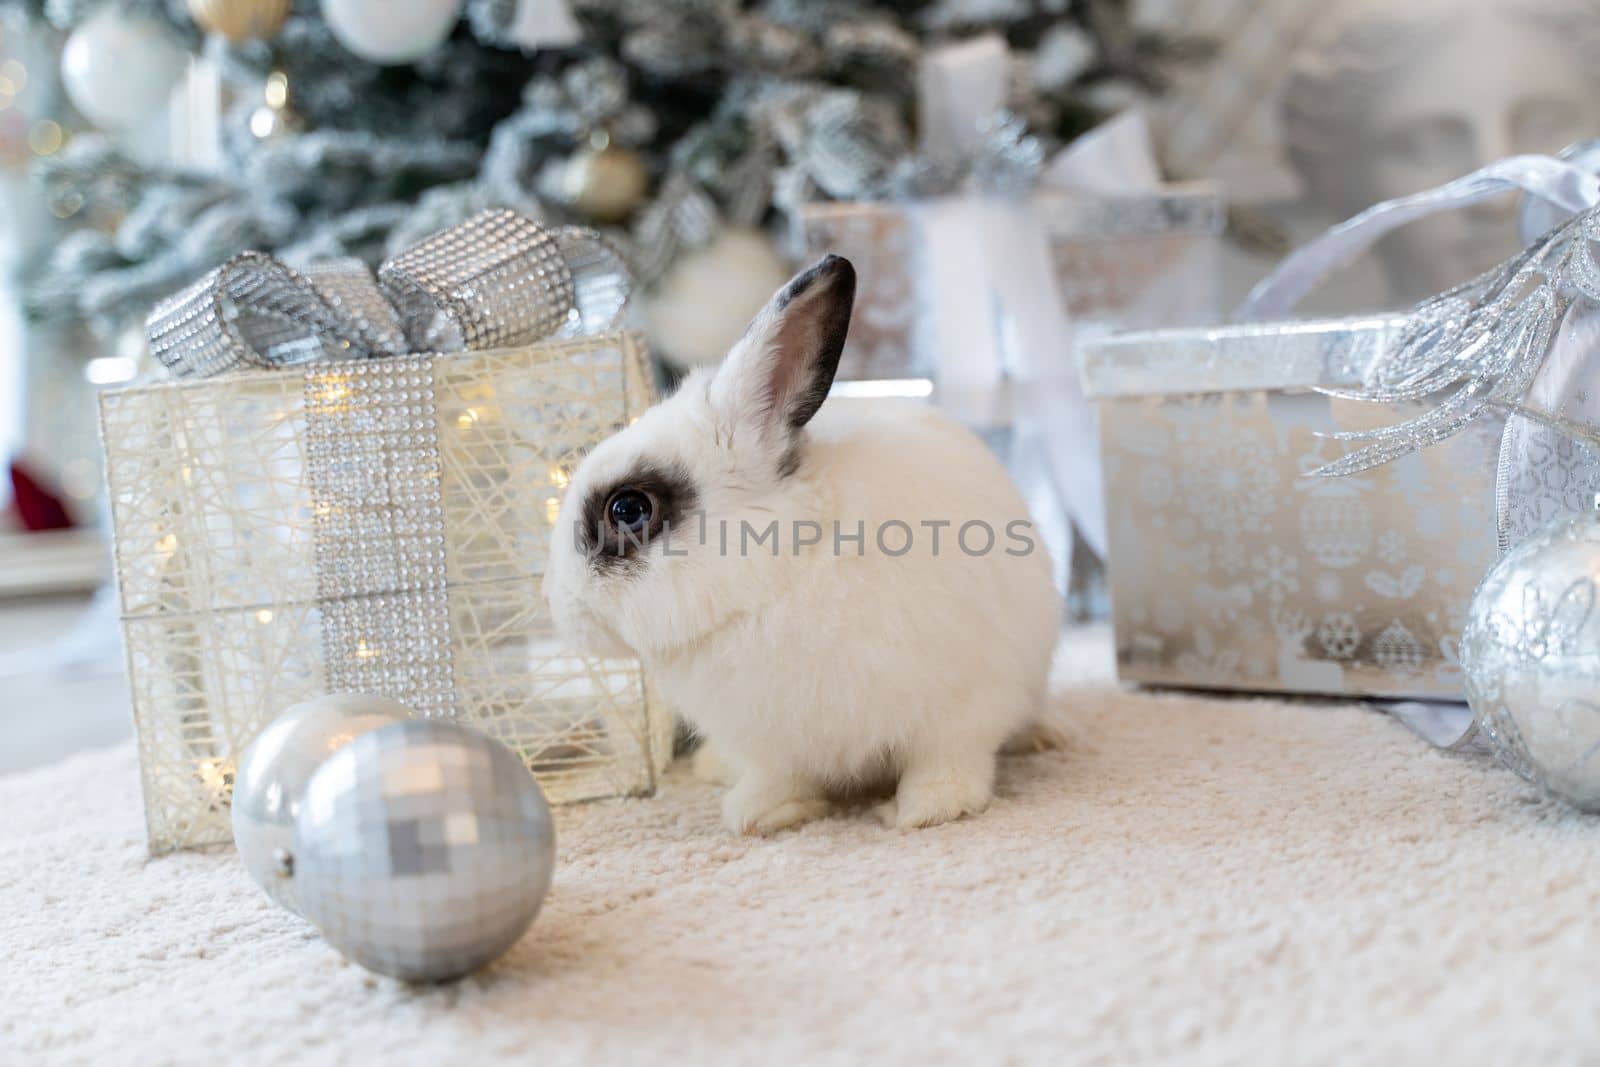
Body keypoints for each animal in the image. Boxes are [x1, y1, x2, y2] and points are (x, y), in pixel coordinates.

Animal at [547, 255, 1062, 831]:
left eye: (629, 509)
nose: (559, 606)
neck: (777, 581)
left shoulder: (963, 711)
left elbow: (947, 762)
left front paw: (927, 810)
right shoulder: (774, 744)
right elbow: (781, 777)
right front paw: (760, 814)